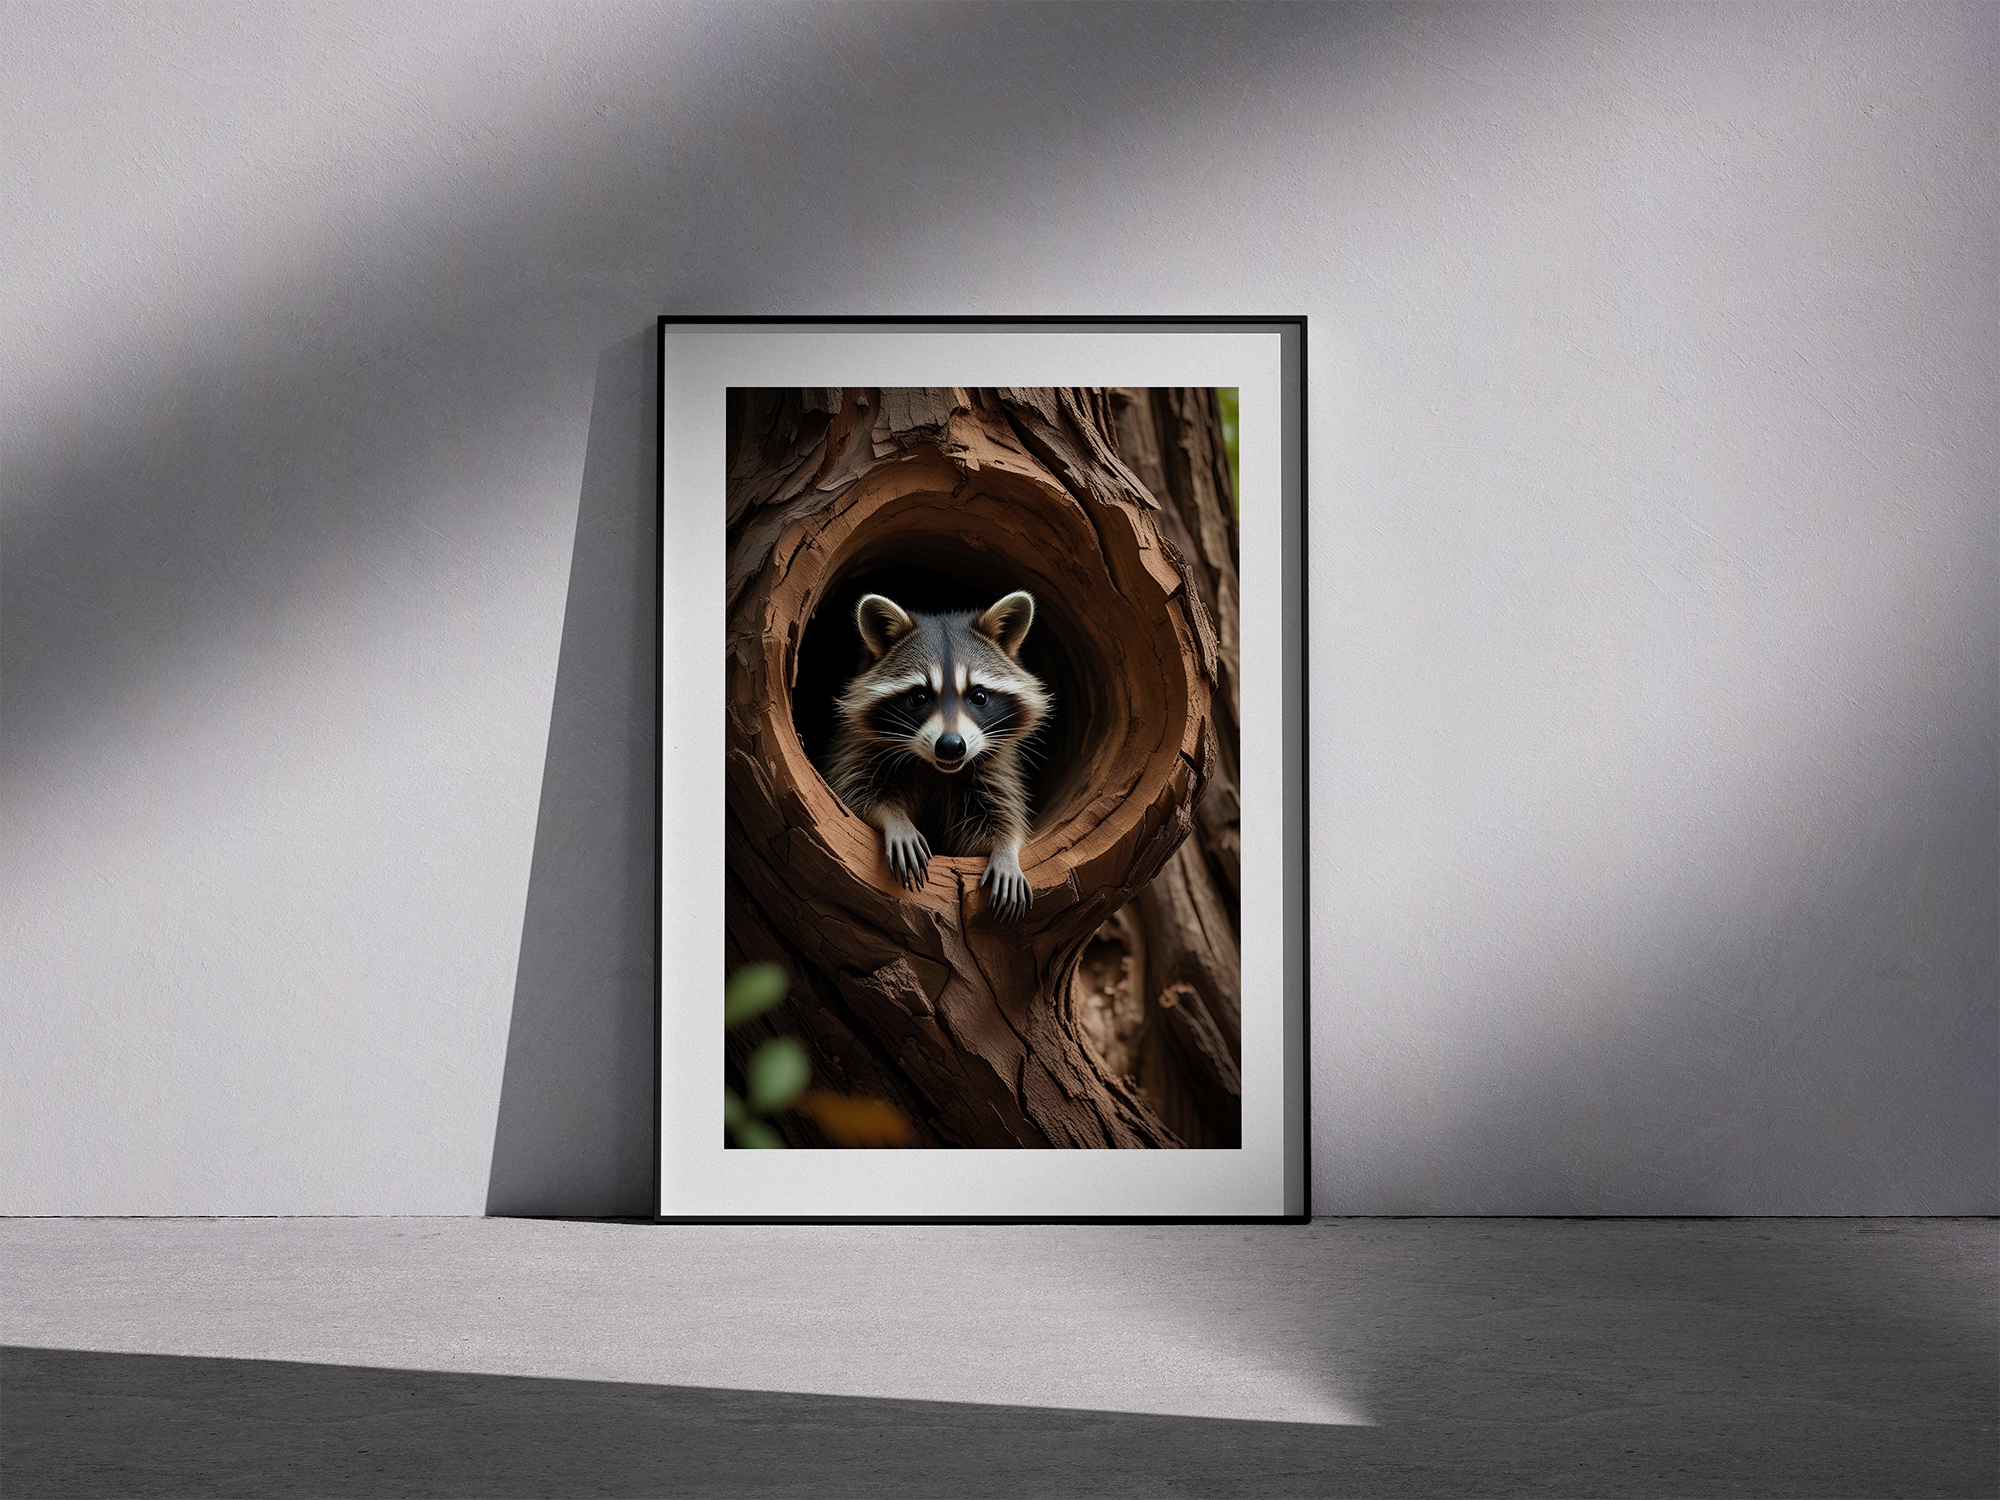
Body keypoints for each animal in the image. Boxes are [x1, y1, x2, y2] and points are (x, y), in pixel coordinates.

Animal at [825, 590, 1052, 922]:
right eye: (920, 696)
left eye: (978, 696)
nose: (951, 745)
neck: (936, 769)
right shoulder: (857, 749)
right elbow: (857, 792)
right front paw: (896, 819)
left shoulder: (995, 767)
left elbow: (998, 814)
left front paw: (1006, 848)